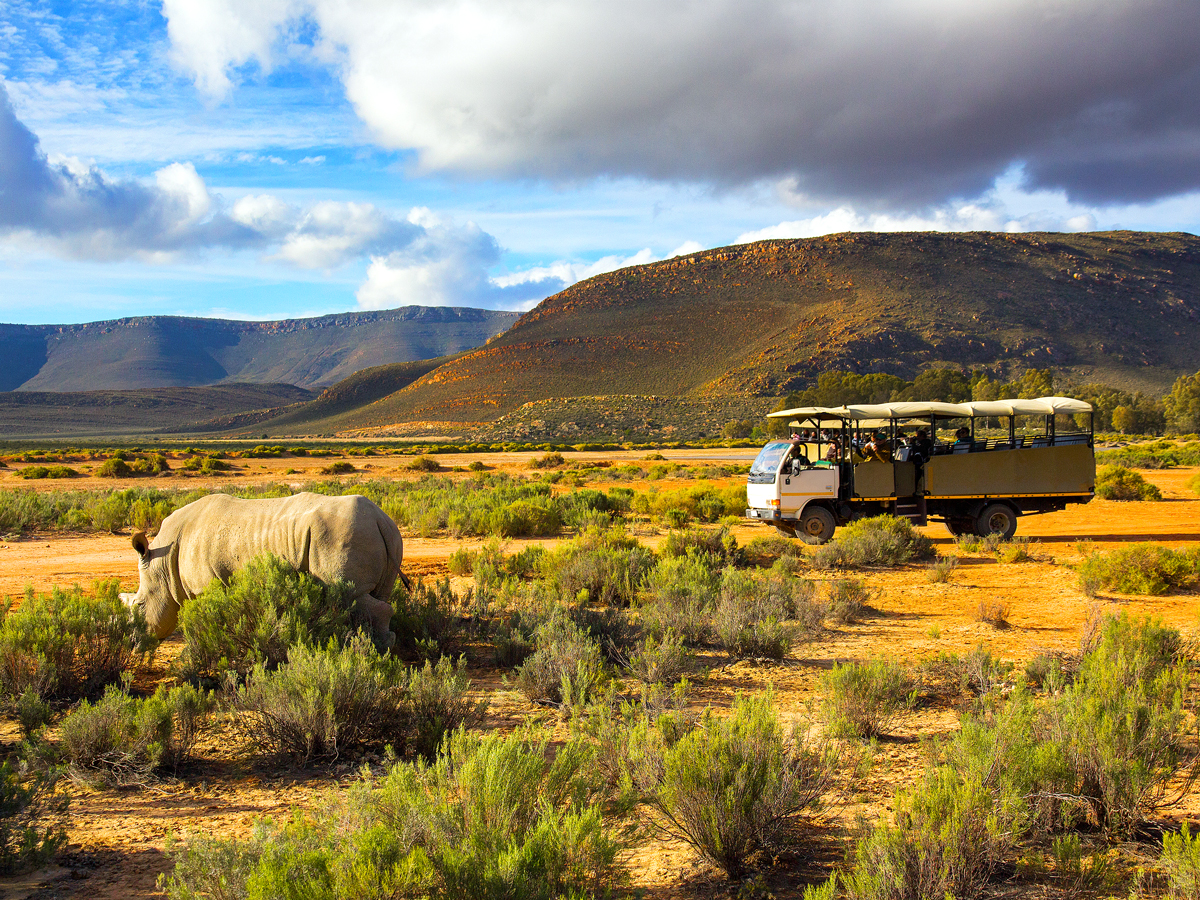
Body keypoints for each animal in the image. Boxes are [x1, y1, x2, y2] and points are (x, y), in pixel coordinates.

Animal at [120, 492, 403, 649]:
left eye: (140, 606)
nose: (133, 645)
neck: (162, 564)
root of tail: (381, 519)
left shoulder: (204, 587)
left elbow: (201, 622)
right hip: (381, 534)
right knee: (374, 596)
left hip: (341, 535)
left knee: (352, 596)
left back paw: (378, 651)